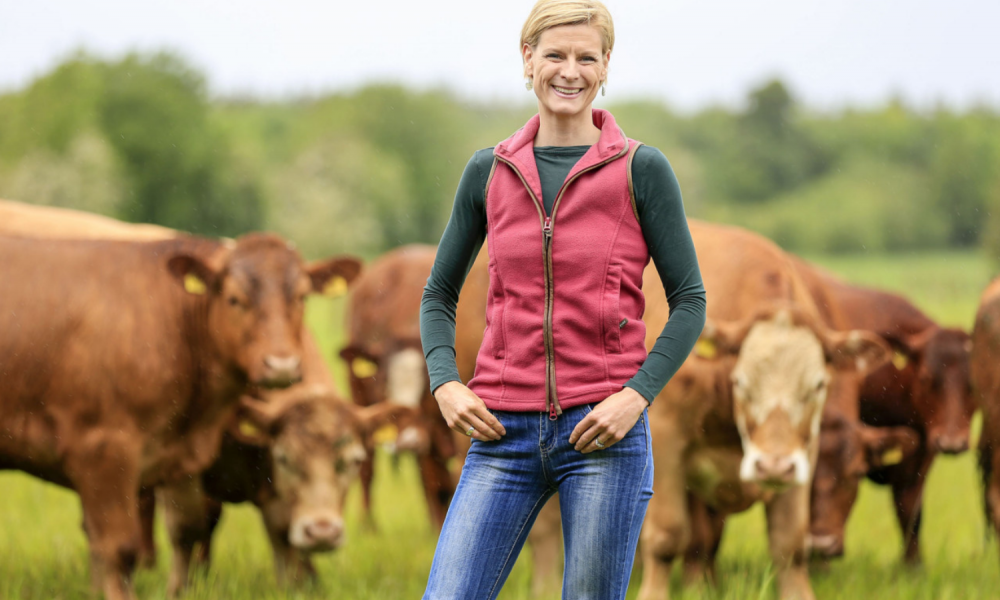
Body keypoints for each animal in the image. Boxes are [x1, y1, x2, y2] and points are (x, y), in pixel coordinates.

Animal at [792, 256, 972, 564]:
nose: (952, 441)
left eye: (974, 383)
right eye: (926, 378)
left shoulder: (922, 447)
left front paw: (913, 567)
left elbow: (910, 510)